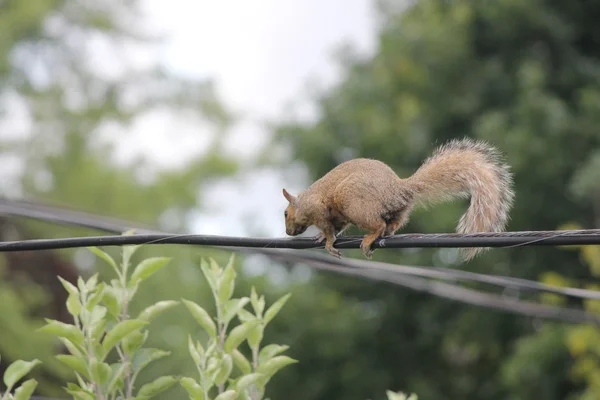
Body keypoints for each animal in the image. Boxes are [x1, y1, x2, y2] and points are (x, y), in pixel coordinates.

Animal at [284, 138, 512, 260]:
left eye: (285, 213)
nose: (287, 232)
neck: (302, 203)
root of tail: (398, 189)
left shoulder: (318, 210)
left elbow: (330, 229)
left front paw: (328, 242)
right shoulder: (338, 217)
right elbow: (336, 227)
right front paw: (320, 237)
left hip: (352, 202)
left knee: (377, 224)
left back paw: (370, 238)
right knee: (394, 222)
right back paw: (388, 230)